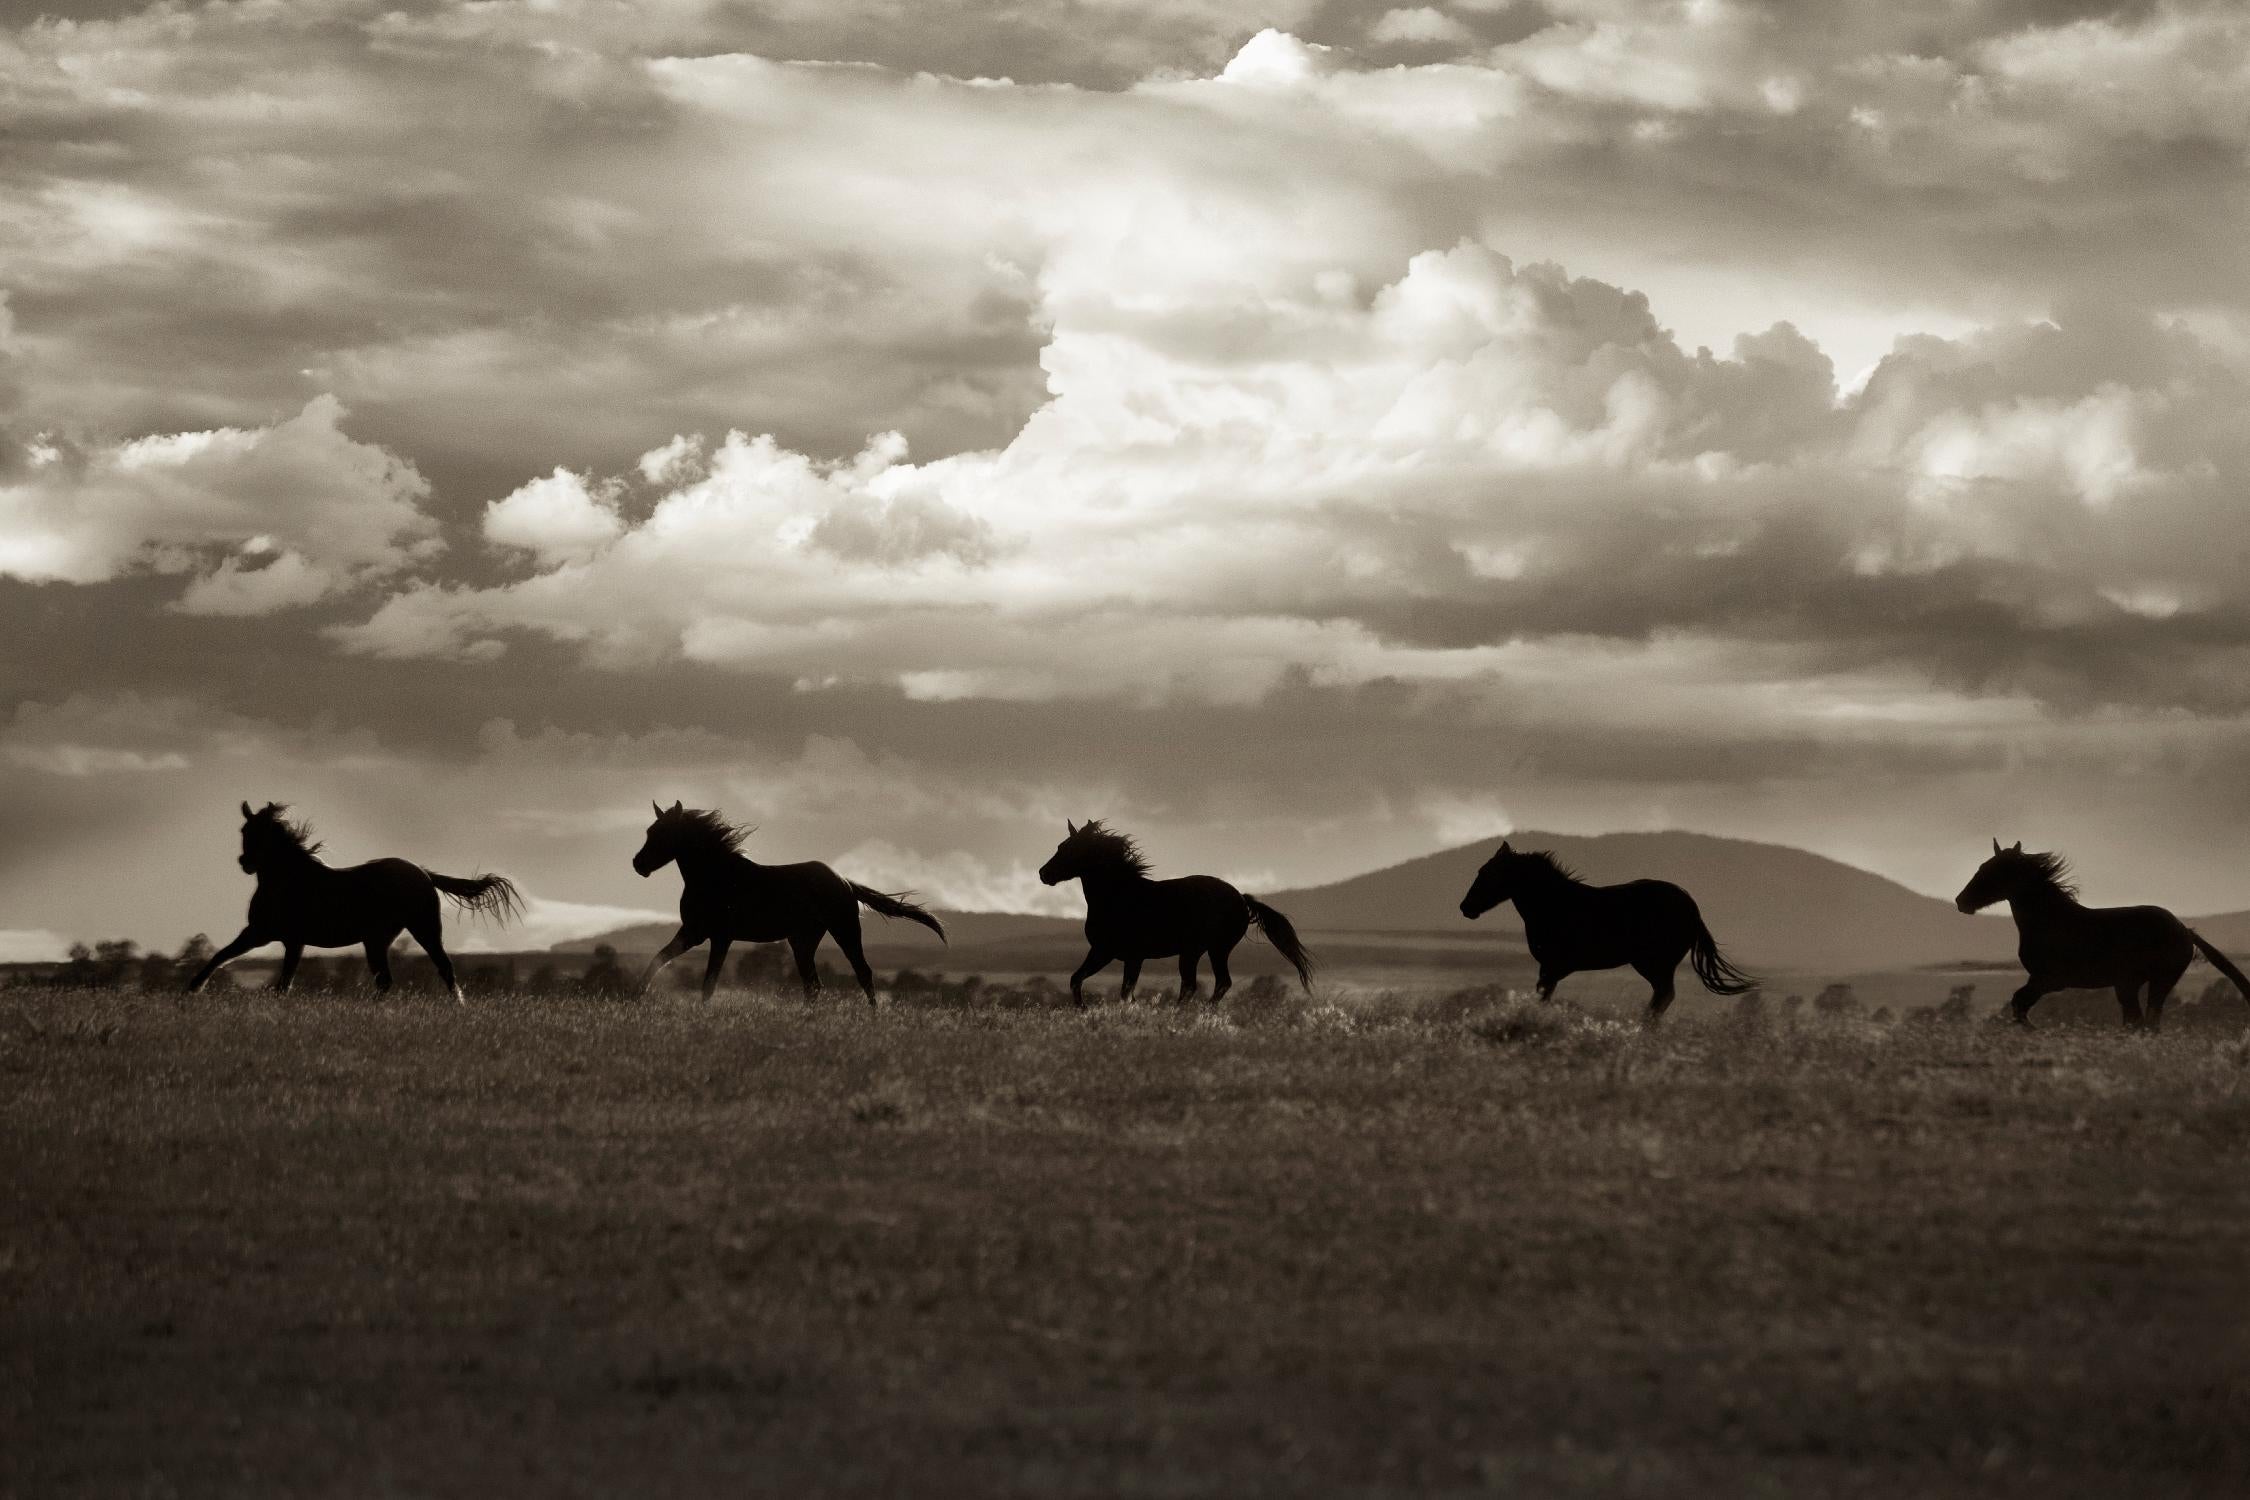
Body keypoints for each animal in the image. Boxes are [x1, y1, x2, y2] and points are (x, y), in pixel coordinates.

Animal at [185, 805, 522, 1002]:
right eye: (245, 830)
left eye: (265, 832)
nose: (246, 863)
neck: (289, 879)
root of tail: (424, 874)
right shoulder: (266, 934)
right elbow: (226, 956)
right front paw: (191, 989)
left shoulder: (278, 936)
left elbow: (277, 977)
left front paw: (191, 990)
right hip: (377, 940)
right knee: (386, 980)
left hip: (422, 929)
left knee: (443, 968)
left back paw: (456, 1006)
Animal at [630, 805, 945, 1002]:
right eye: (648, 831)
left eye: (663, 833)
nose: (638, 864)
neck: (717, 877)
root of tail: (844, 881)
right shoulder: (693, 932)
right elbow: (659, 959)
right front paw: (635, 998)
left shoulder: (720, 937)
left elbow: (709, 983)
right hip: (803, 940)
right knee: (813, 985)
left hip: (844, 930)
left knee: (862, 973)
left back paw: (873, 1018)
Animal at [1030, 823, 1314, 1007]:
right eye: (1060, 845)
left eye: (1068, 848)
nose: (1043, 874)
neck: (1118, 896)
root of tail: (1241, 899)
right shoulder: (1109, 953)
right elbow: (1080, 980)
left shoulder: (1116, 954)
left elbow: (1120, 991)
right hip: (1200, 951)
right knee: (1205, 984)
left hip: (1210, 949)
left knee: (1210, 983)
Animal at [1458, 841, 1755, 1025]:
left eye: (1487, 873)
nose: (1465, 907)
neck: (1555, 904)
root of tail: (1691, 908)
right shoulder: (1552, 968)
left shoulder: (1551, 966)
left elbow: (1542, 998)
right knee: (1662, 997)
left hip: (1655, 964)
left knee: (1663, 996)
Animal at [1953, 841, 2250, 1025]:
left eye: (1992, 871)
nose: (1960, 901)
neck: (2050, 920)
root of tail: (2184, 930)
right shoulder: (2040, 980)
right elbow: (2018, 1006)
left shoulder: (2049, 980)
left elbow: (2019, 1005)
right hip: (2131, 985)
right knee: (2140, 1024)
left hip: (2156, 981)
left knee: (2146, 1025)